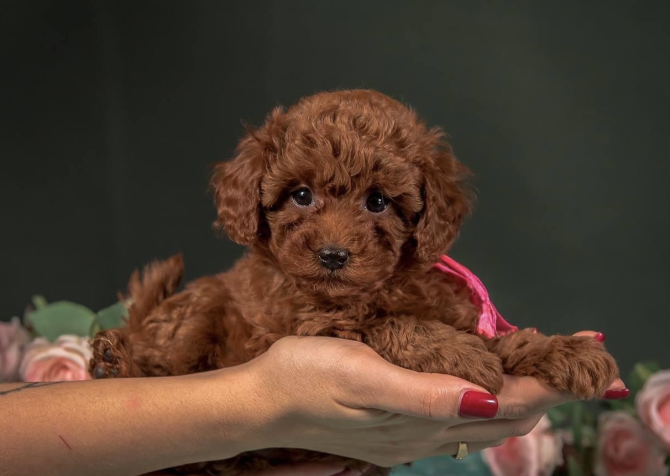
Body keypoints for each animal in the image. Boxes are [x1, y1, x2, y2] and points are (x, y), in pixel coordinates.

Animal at [92, 88, 624, 472]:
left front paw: (568, 352)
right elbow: (391, 324)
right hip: (197, 307)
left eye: (378, 202)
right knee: (162, 364)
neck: (381, 285)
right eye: (300, 195)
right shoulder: (318, 323)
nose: (333, 255)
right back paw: (114, 364)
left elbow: (503, 340)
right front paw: (462, 355)